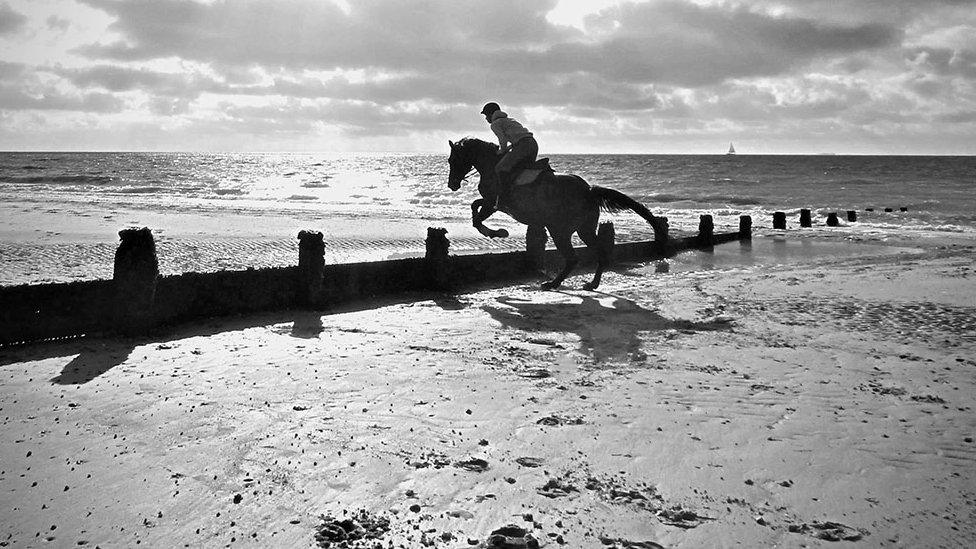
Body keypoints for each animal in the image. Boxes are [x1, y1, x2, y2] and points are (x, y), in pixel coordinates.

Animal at [446, 137, 668, 288]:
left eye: (452, 160)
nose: (452, 185)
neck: (491, 164)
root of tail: (589, 190)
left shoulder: (494, 203)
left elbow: (478, 218)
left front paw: (497, 232)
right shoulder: (492, 203)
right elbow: (475, 207)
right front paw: (496, 231)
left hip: (559, 229)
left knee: (573, 257)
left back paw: (554, 284)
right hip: (584, 229)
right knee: (597, 252)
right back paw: (591, 284)